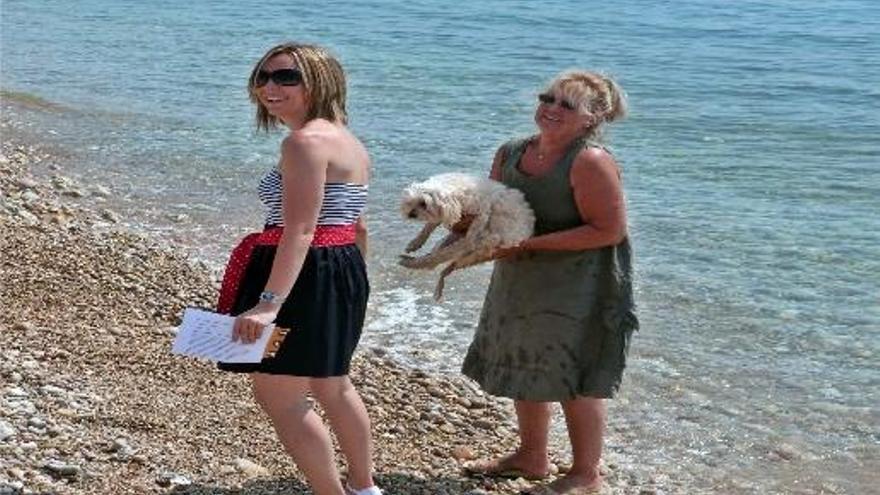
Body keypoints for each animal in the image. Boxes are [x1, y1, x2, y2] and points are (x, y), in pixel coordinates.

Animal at [398, 172, 536, 300]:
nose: (410, 214)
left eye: (423, 203)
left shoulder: (478, 219)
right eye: (410, 202)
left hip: (476, 251)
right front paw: (415, 242)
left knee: (440, 261)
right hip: (454, 244)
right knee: (439, 260)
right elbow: (429, 226)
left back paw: (415, 266)